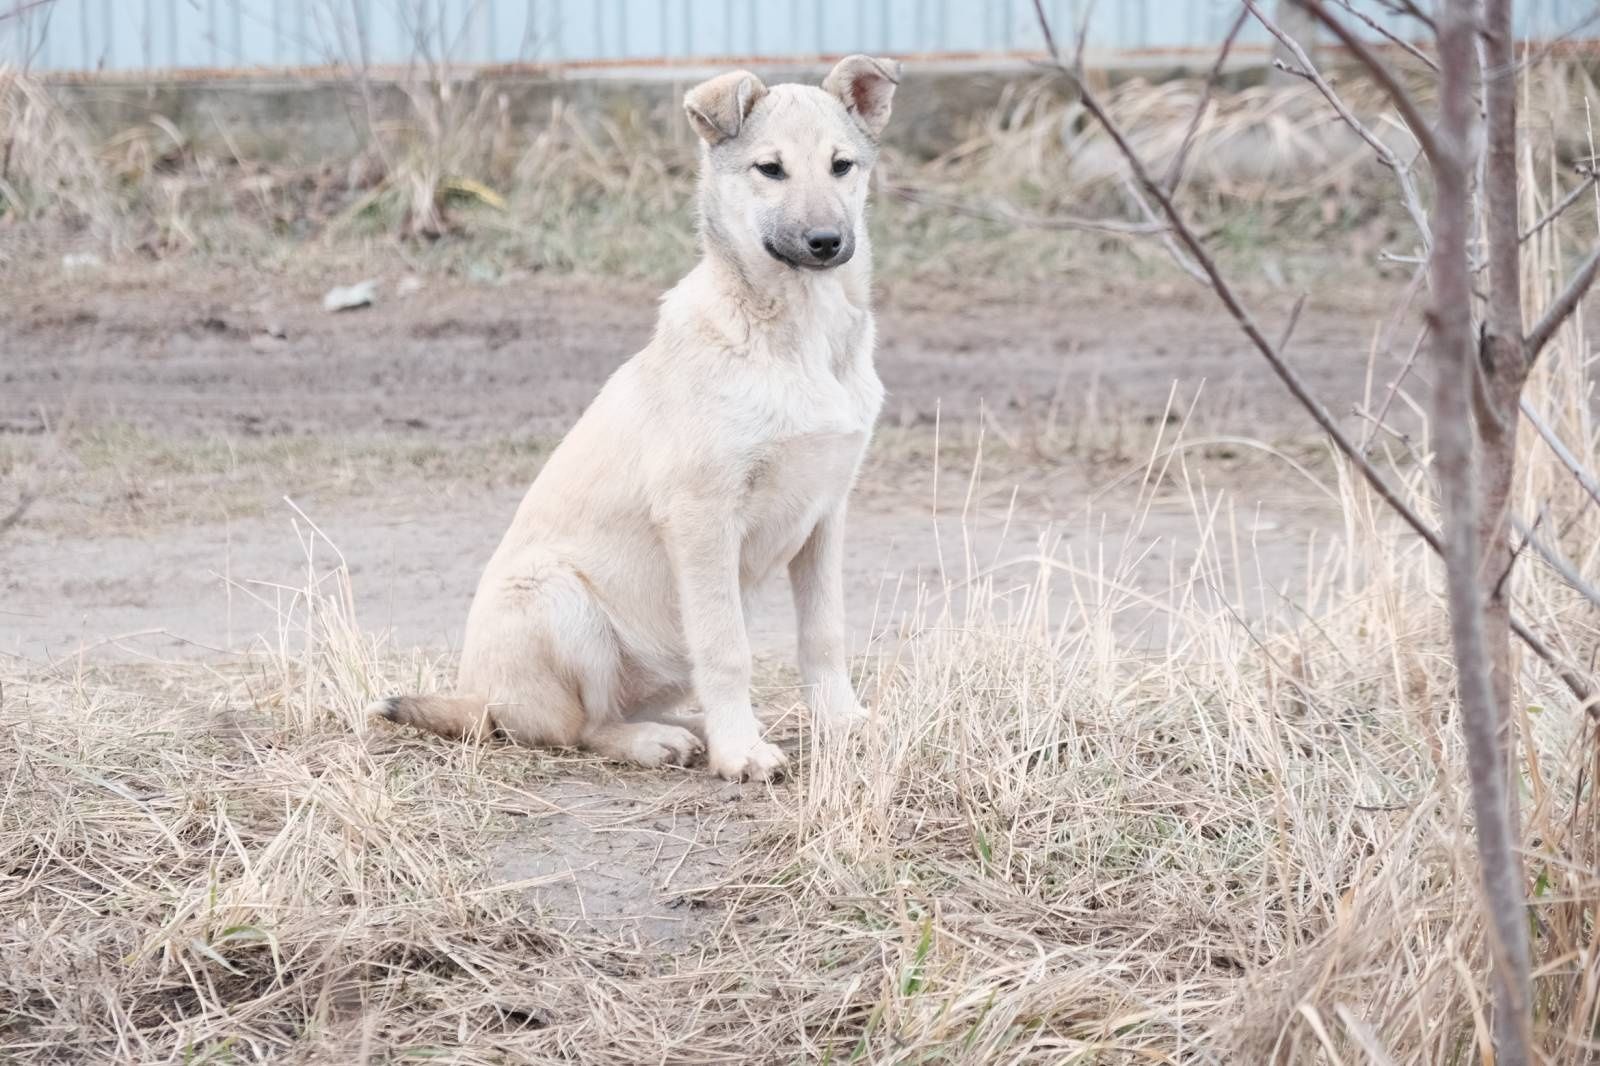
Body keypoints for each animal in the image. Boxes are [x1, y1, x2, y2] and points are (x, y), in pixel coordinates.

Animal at [371, 56, 902, 781]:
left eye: (842, 166)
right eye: (770, 169)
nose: (826, 243)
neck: (798, 332)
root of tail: (482, 699)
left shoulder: (825, 514)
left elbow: (824, 633)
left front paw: (842, 723)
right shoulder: (701, 516)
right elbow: (728, 648)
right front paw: (742, 753)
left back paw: (690, 727)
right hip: (560, 599)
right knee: (577, 728)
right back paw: (660, 741)